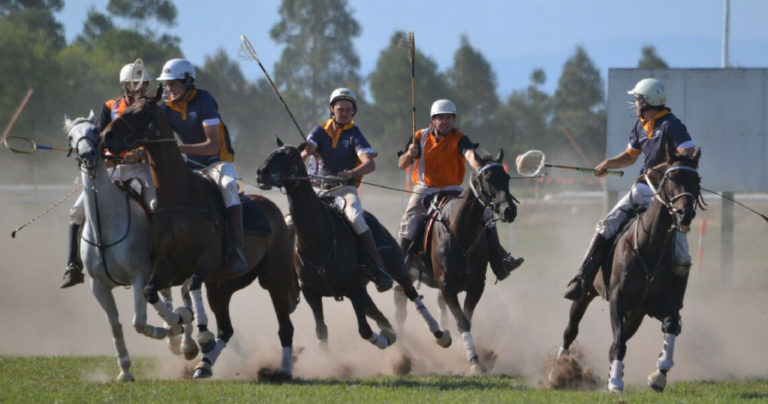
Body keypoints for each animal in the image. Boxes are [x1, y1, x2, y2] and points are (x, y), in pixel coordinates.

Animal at [64, 112, 196, 380]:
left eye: (95, 131)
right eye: (71, 137)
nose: (88, 156)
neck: (105, 229)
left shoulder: (139, 276)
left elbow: (140, 322)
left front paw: (173, 329)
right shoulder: (98, 286)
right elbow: (116, 326)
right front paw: (125, 370)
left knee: (187, 296)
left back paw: (187, 341)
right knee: (168, 296)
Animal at [103, 90, 302, 380]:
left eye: (140, 112)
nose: (106, 135)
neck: (180, 198)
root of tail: (274, 210)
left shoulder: (207, 261)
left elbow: (194, 284)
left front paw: (200, 333)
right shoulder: (169, 266)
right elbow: (151, 291)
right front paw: (177, 322)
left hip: (275, 277)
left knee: (285, 326)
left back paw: (284, 368)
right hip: (224, 285)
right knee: (227, 329)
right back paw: (204, 365)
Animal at [258, 140, 448, 354]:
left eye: (289, 155)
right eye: (272, 152)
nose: (261, 172)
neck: (318, 240)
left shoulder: (353, 288)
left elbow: (364, 330)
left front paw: (384, 339)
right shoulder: (311, 292)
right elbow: (321, 331)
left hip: (397, 267)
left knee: (411, 294)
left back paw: (439, 334)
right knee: (379, 313)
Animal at [396, 148, 516, 372]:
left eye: (507, 177)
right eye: (487, 178)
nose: (509, 210)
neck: (461, 232)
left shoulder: (476, 285)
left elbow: (465, 319)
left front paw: (472, 357)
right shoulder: (446, 284)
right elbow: (461, 320)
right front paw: (474, 361)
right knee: (401, 304)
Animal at [556, 144, 704, 392]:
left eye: (696, 179)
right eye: (671, 177)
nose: (685, 214)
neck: (649, 246)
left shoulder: (658, 305)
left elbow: (670, 325)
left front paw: (659, 374)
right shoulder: (618, 298)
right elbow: (618, 343)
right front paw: (615, 382)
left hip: (636, 313)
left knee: (623, 336)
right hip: (587, 293)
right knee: (571, 329)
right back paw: (559, 367)